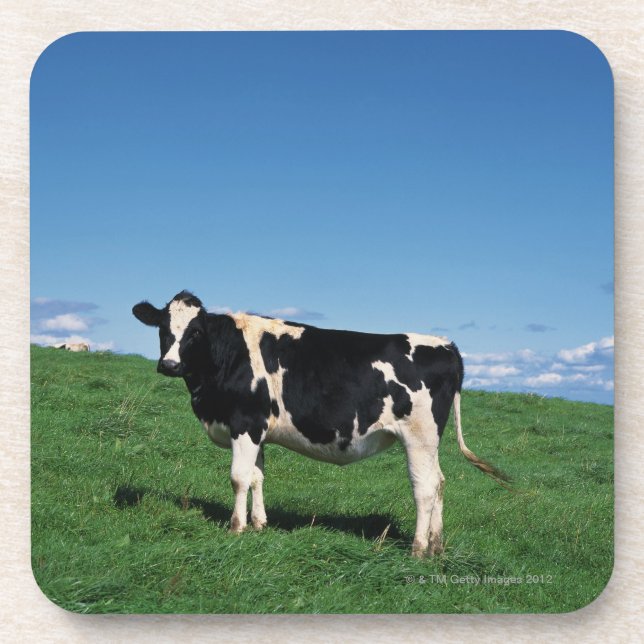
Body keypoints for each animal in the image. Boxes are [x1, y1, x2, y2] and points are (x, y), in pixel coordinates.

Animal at [132, 290, 508, 557]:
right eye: (163, 329)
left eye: (195, 333)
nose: (169, 365)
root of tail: (446, 345)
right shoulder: (259, 430)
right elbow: (256, 477)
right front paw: (259, 524)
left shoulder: (245, 423)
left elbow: (238, 478)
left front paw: (236, 528)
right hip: (429, 442)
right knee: (441, 482)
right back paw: (436, 545)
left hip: (419, 435)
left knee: (426, 486)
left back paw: (417, 550)